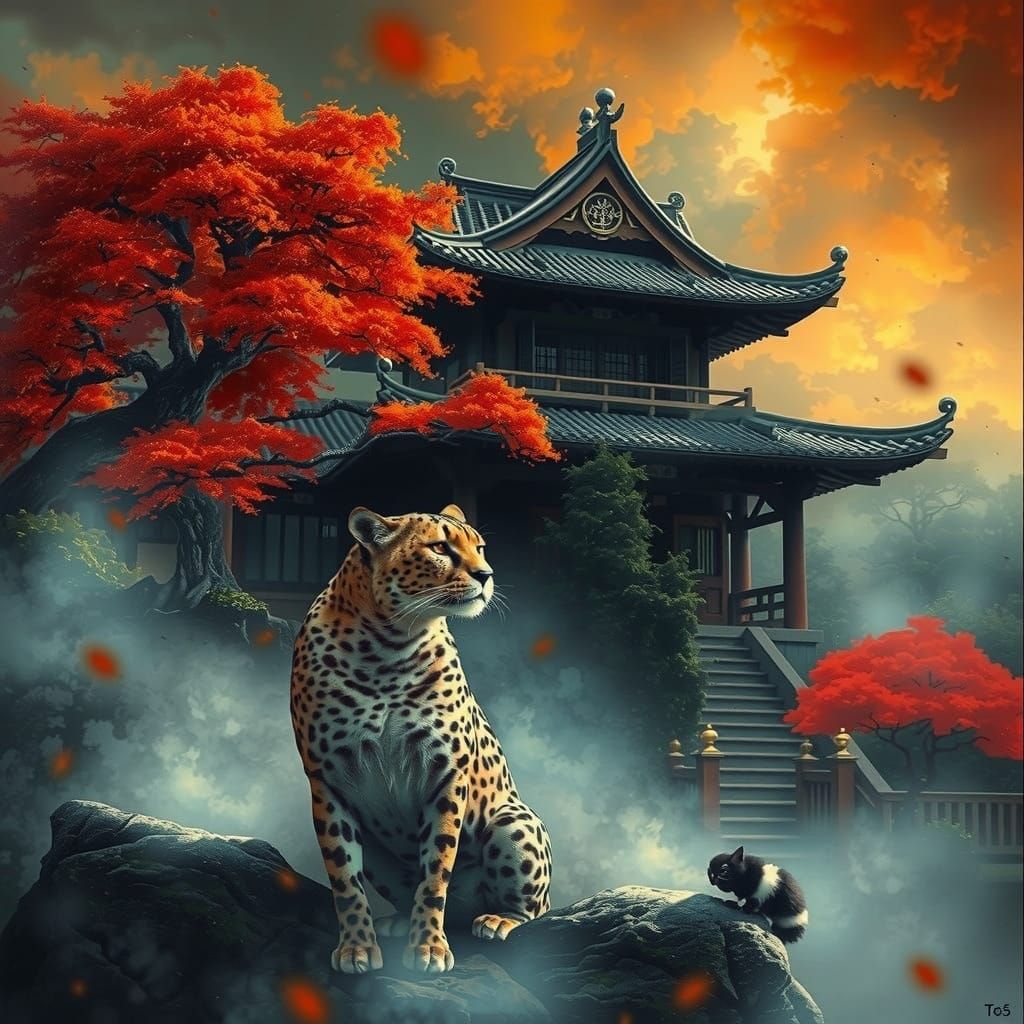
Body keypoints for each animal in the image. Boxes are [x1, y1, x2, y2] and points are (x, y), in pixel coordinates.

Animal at [290, 503, 552, 975]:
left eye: (480, 546)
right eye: (441, 548)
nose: (486, 574)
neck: (387, 645)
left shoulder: (445, 776)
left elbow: (435, 872)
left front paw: (429, 947)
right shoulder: (327, 781)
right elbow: (344, 878)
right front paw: (357, 947)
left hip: (512, 821)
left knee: (536, 909)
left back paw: (499, 920)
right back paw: (396, 922)